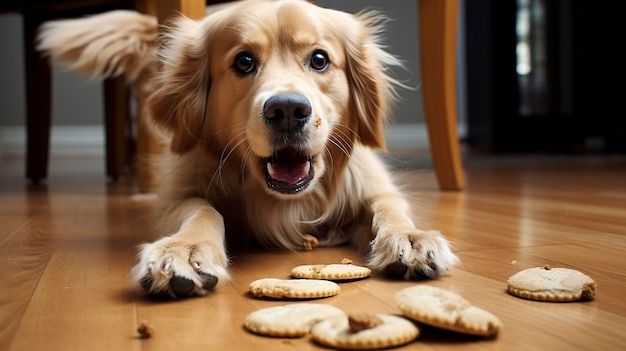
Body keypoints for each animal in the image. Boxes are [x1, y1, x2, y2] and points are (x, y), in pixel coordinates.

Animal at [39, 0, 458, 300]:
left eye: (320, 59)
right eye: (244, 61)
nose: (287, 110)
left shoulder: (371, 184)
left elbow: (388, 207)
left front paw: (411, 238)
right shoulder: (180, 192)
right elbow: (203, 210)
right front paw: (185, 250)